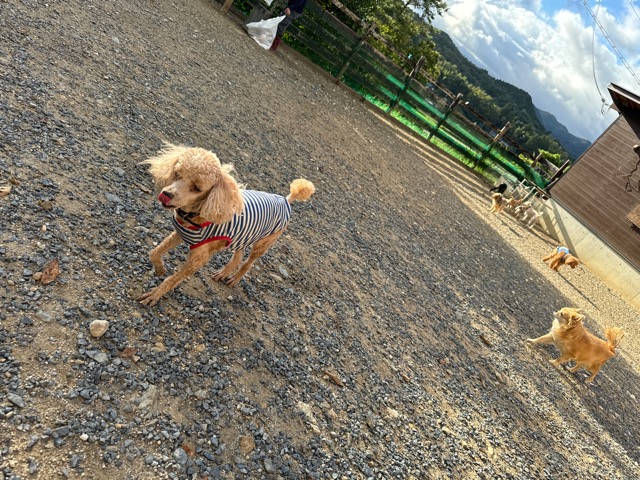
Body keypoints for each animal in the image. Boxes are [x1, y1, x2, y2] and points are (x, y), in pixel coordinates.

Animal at [138, 143, 315, 306]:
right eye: (176, 173)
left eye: (197, 188)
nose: (166, 194)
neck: (196, 215)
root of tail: (286, 200)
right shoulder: (180, 234)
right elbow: (154, 252)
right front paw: (160, 269)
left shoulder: (198, 259)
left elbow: (173, 279)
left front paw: (155, 294)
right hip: (244, 235)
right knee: (239, 255)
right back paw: (224, 273)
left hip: (263, 243)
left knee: (248, 263)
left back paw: (234, 279)